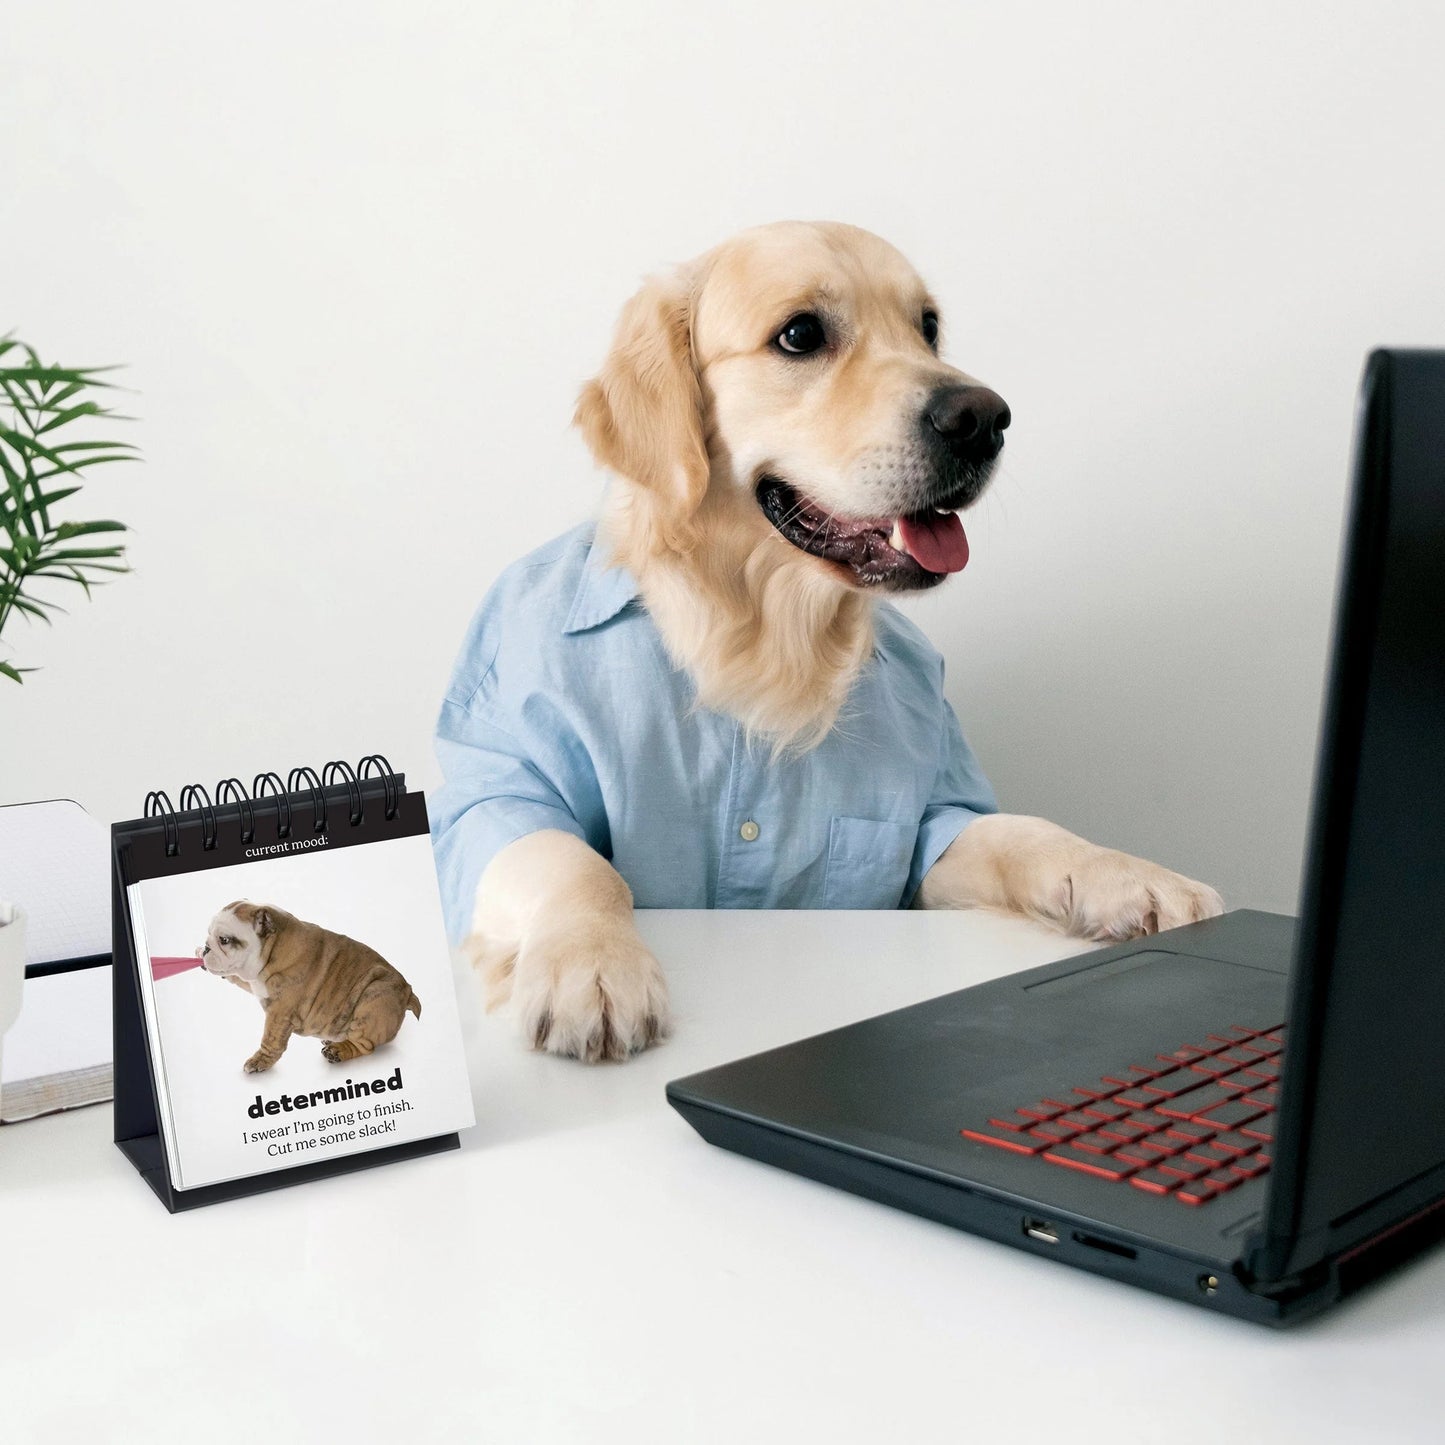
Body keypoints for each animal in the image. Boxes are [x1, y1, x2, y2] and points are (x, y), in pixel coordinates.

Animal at [195, 901, 419, 1075]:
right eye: (209, 934)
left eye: (224, 940)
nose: (206, 947)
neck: (271, 950)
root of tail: (408, 991)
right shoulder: (255, 983)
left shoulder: (279, 1013)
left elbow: (270, 1040)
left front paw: (260, 1061)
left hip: (374, 997)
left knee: (364, 1046)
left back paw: (338, 1050)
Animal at [424, 222, 1219, 1063]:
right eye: (800, 335)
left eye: (927, 327)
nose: (983, 417)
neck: (761, 623)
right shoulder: (499, 790)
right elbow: (569, 859)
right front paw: (591, 962)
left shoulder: (927, 833)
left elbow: (1018, 831)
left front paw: (1128, 875)